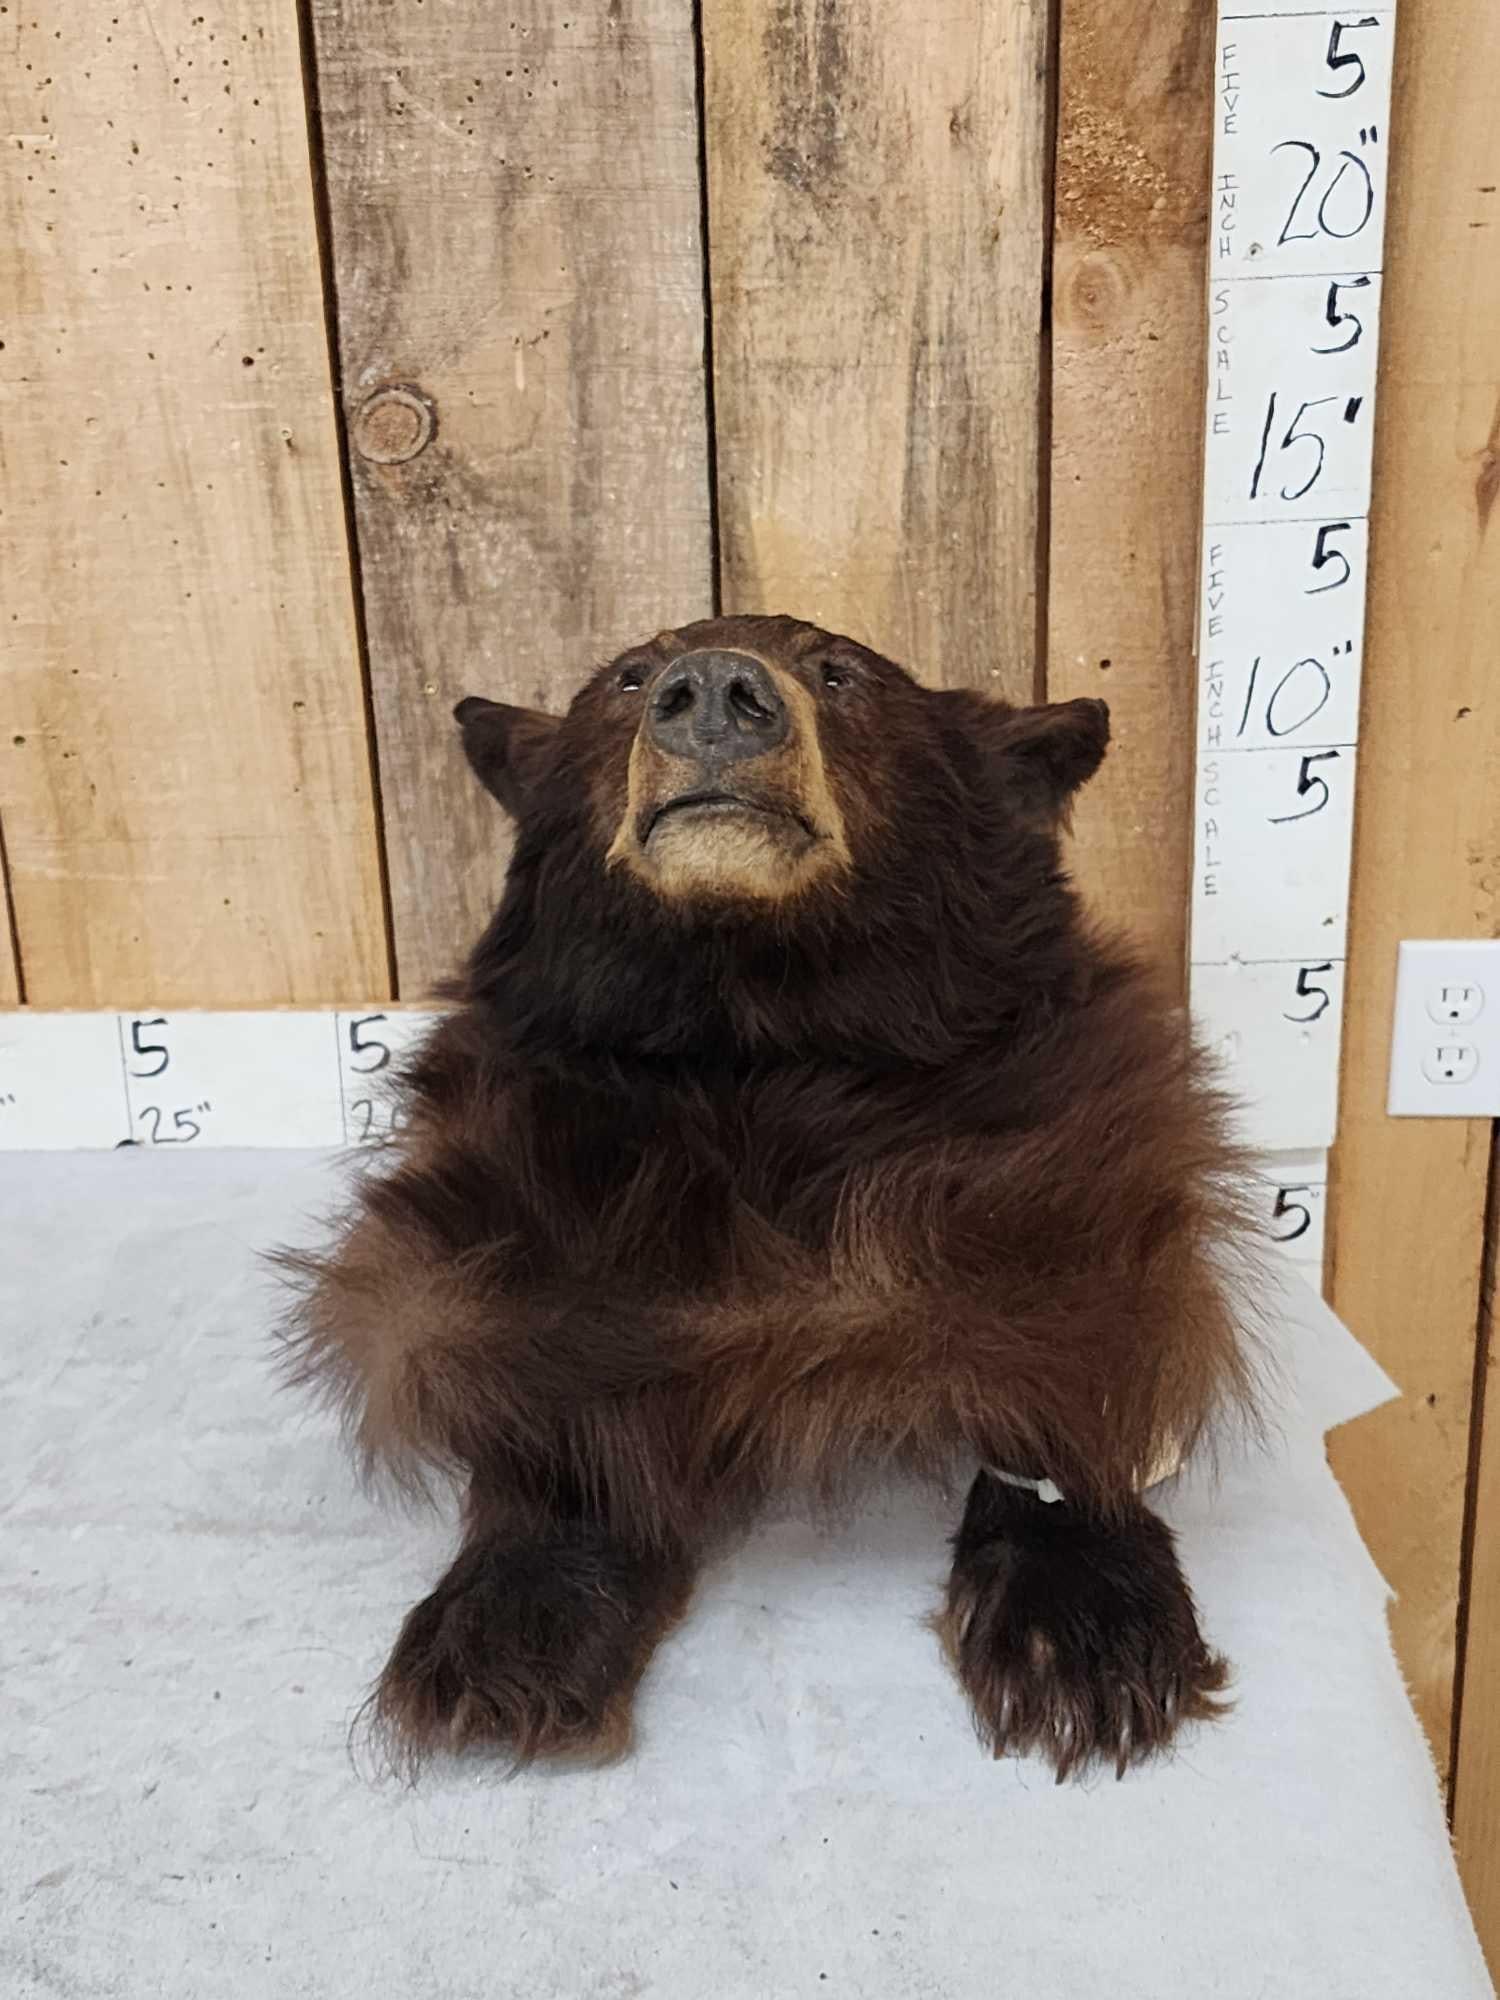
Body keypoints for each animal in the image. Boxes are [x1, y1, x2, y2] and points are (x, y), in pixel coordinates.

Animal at [279, 613, 1260, 1782]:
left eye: (843, 675)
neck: (756, 1019)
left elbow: (1083, 1329)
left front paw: (1085, 1627)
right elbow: (539, 1368)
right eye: (624, 679)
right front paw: (509, 1623)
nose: (711, 689)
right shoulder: (521, 1182)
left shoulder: (1065, 1133)